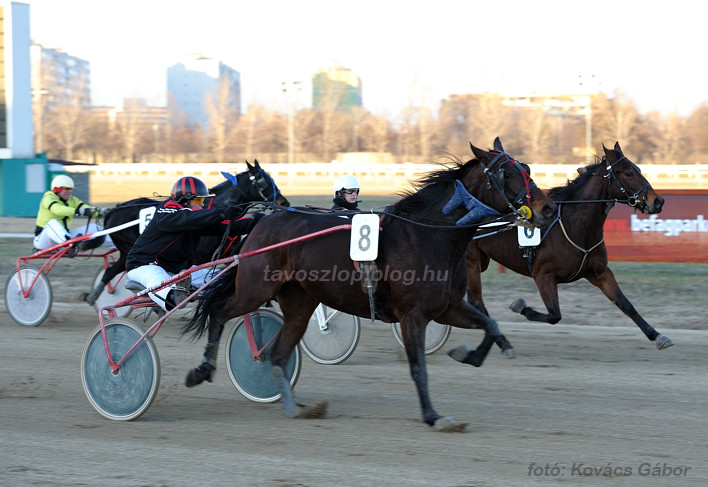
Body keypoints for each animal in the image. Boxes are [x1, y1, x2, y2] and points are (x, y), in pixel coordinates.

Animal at [83, 160, 290, 306]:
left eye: (272, 178)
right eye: (263, 181)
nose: (284, 203)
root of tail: (115, 209)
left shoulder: (226, 251)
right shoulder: (199, 257)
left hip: (125, 251)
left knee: (111, 271)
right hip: (127, 248)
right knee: (115, 271)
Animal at [183, 138, 560, 430]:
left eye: (527, 168)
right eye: (508, 174)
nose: (548, 208)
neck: (430, 234)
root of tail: (263, 220)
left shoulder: (447, 307)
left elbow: (490, 324)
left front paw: (470, 354)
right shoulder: (413, 314)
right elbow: (418, 368)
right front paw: (433, 415)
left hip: (300, 303)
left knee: (277, 353)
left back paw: (297, 407)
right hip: (255, 288)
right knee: (219, 312)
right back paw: (201, 370)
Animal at [468, 141, 672, 350]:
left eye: (639, 169)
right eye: (628, 173)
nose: (658, 201)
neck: (575, 226)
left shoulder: (600, 272)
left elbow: (626, 305)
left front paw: (657, 336)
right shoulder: (543, 275)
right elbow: (554, 315)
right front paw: (519, 306)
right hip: (471, 260)